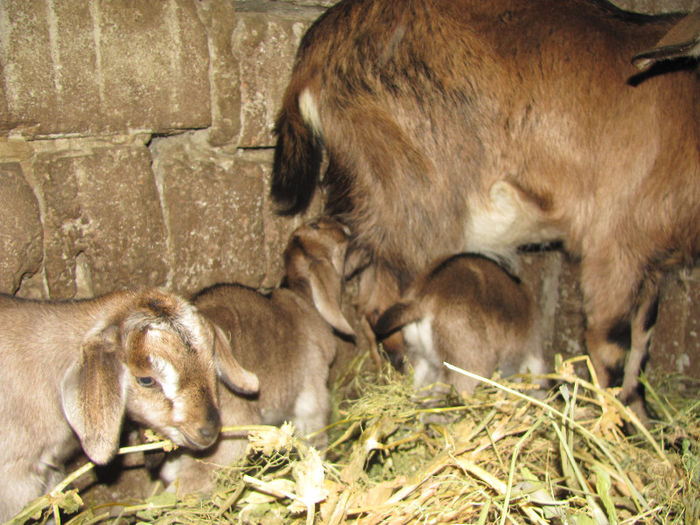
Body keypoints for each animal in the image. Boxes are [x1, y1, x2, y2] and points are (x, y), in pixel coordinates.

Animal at [272, 0, 700, 418]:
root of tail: (317, 48)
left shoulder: (652, 260)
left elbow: (643, 340)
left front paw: (643, 417)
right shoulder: (616, 245)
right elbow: (613, 348)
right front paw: (613, 427)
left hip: (372, 198)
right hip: (417, 202)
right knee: (382, 301)